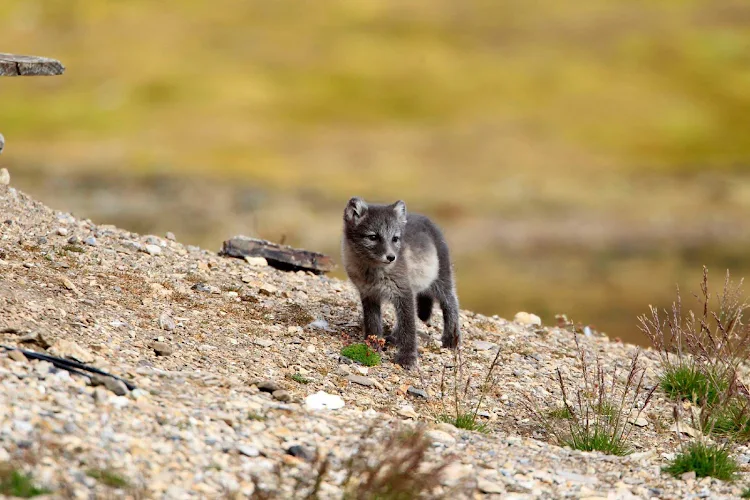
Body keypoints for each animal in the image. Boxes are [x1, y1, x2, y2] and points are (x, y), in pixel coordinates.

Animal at [341, 197, 461, 368]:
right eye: (373, 237)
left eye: (395, 239)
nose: (391, 257)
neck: (372, 272)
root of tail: (426, 219)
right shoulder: (369, 294)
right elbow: (373, 324)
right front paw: (372, 347)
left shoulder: (403, 291)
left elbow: (408, 326)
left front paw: (407, 358)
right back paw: (394, 337)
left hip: (441, 279)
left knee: (451, 303)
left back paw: (451, 339)